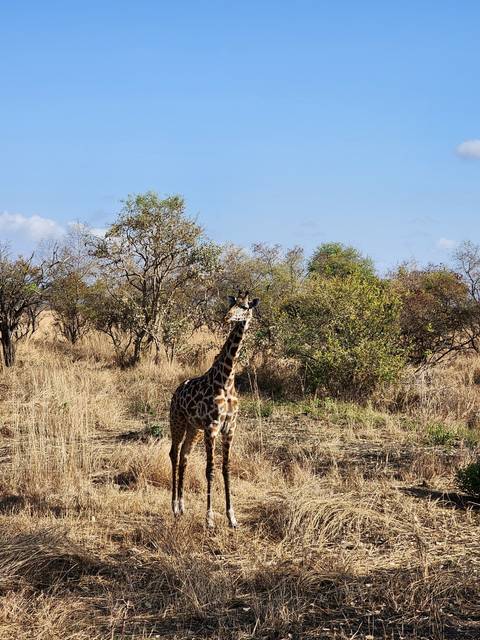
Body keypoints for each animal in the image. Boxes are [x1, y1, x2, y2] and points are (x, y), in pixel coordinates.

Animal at [169, 291, 259, 528]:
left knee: (184, 456)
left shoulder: (229, 428)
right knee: (174, 454)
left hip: (194, 429)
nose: (228, 317)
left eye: (246, 306)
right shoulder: (212, 427)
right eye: (232, 303)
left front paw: (232, 517)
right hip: (177, 422)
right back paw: (174, 507)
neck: (226, 379)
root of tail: (176, 392)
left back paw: (182, 507)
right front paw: (209, 519)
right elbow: (210, 470)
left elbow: (226, 469)